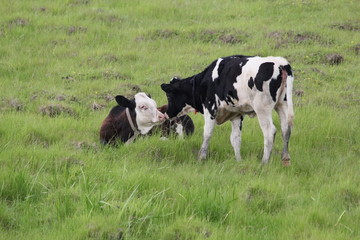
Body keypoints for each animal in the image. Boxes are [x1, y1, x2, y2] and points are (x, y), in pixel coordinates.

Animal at [162, 55, 294, 165]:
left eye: (169, 95)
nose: (166, 114)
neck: (205, 81)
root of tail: (280, 63)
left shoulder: (210, 109)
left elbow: (207, 133)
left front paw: (201, 157)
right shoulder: (236, 114)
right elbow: (235, 139)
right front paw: (238, 160)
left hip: (263, 109)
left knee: (269, 132)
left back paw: (264, 162)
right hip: (282, 104)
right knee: (286, 129)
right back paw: (285, 158)